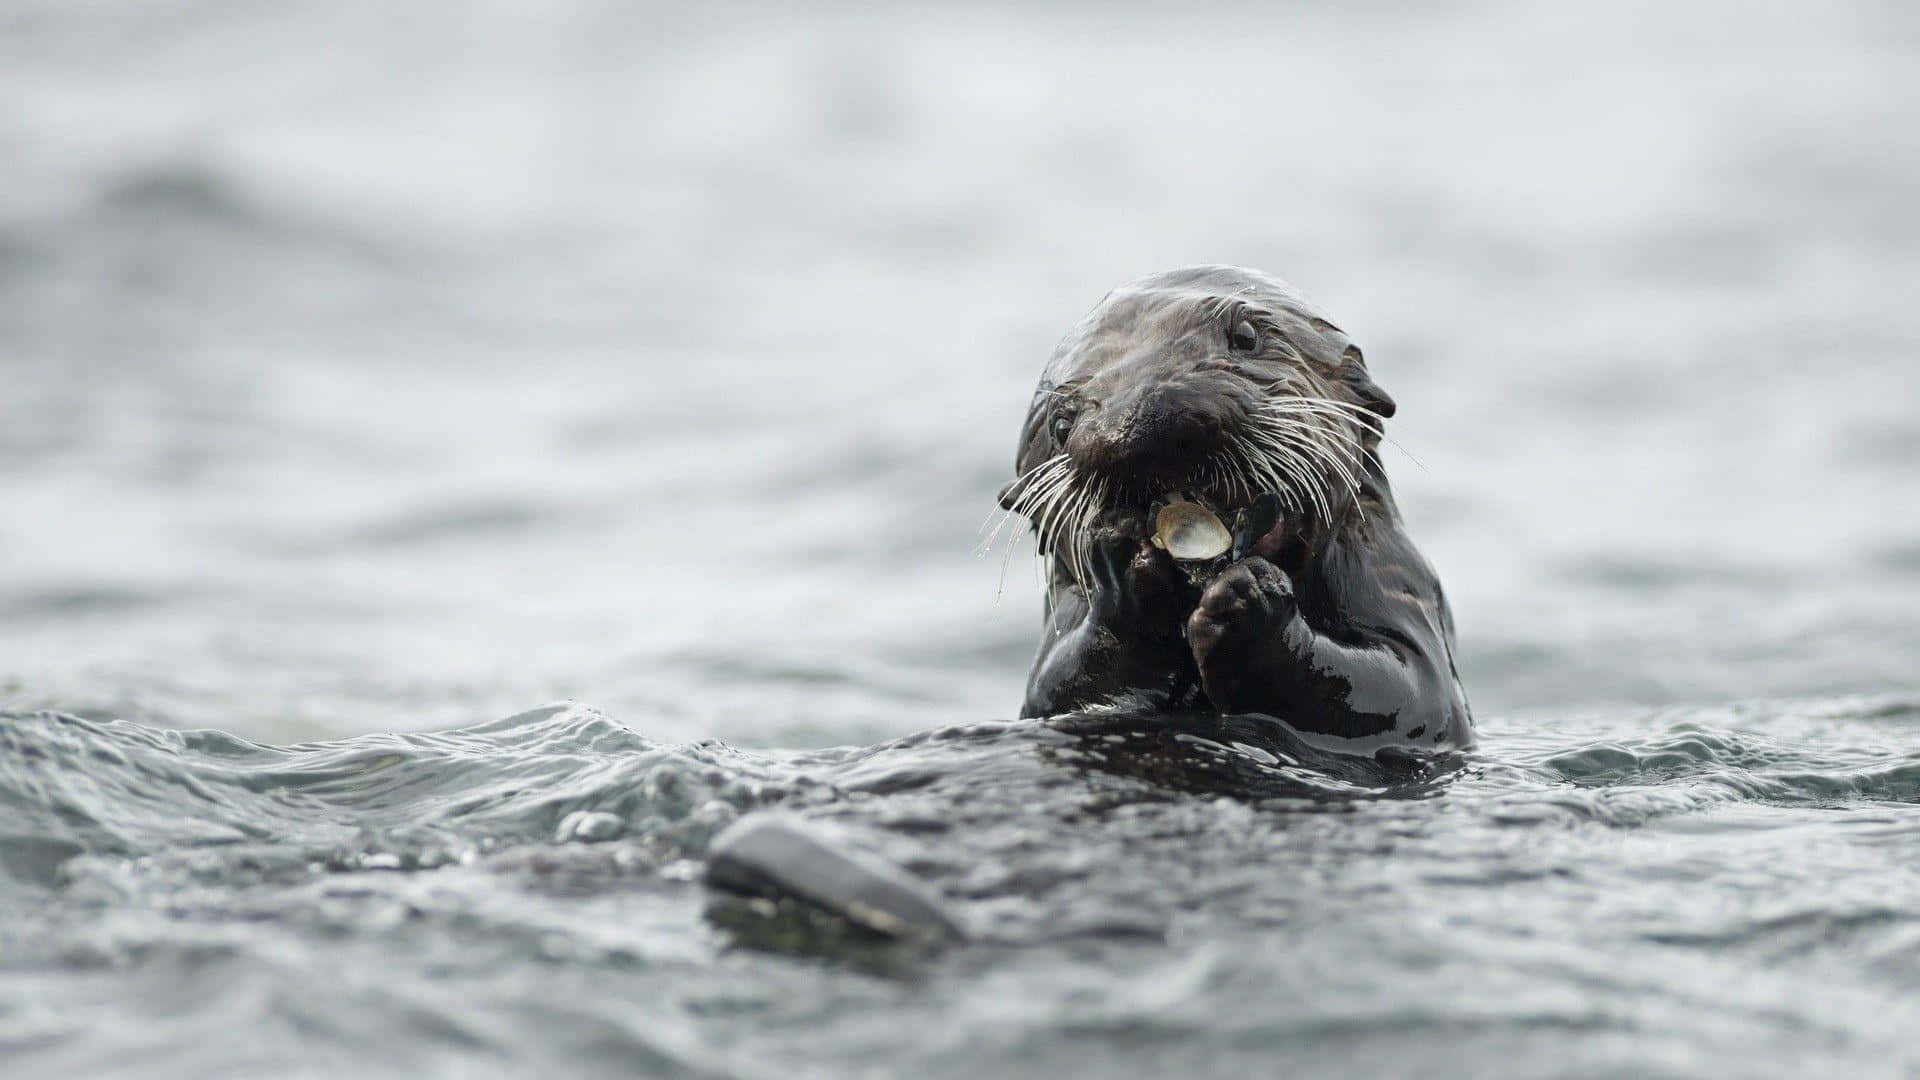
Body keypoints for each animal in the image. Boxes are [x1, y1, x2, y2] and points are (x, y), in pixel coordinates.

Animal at [997, 266, 1472, 748]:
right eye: (1061, 424)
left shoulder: (1394, 580)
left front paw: (1250, 598)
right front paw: (1126, 573)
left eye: (1246, 336)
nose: (1139, 420)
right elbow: (1062, 686)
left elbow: (1410, 689)